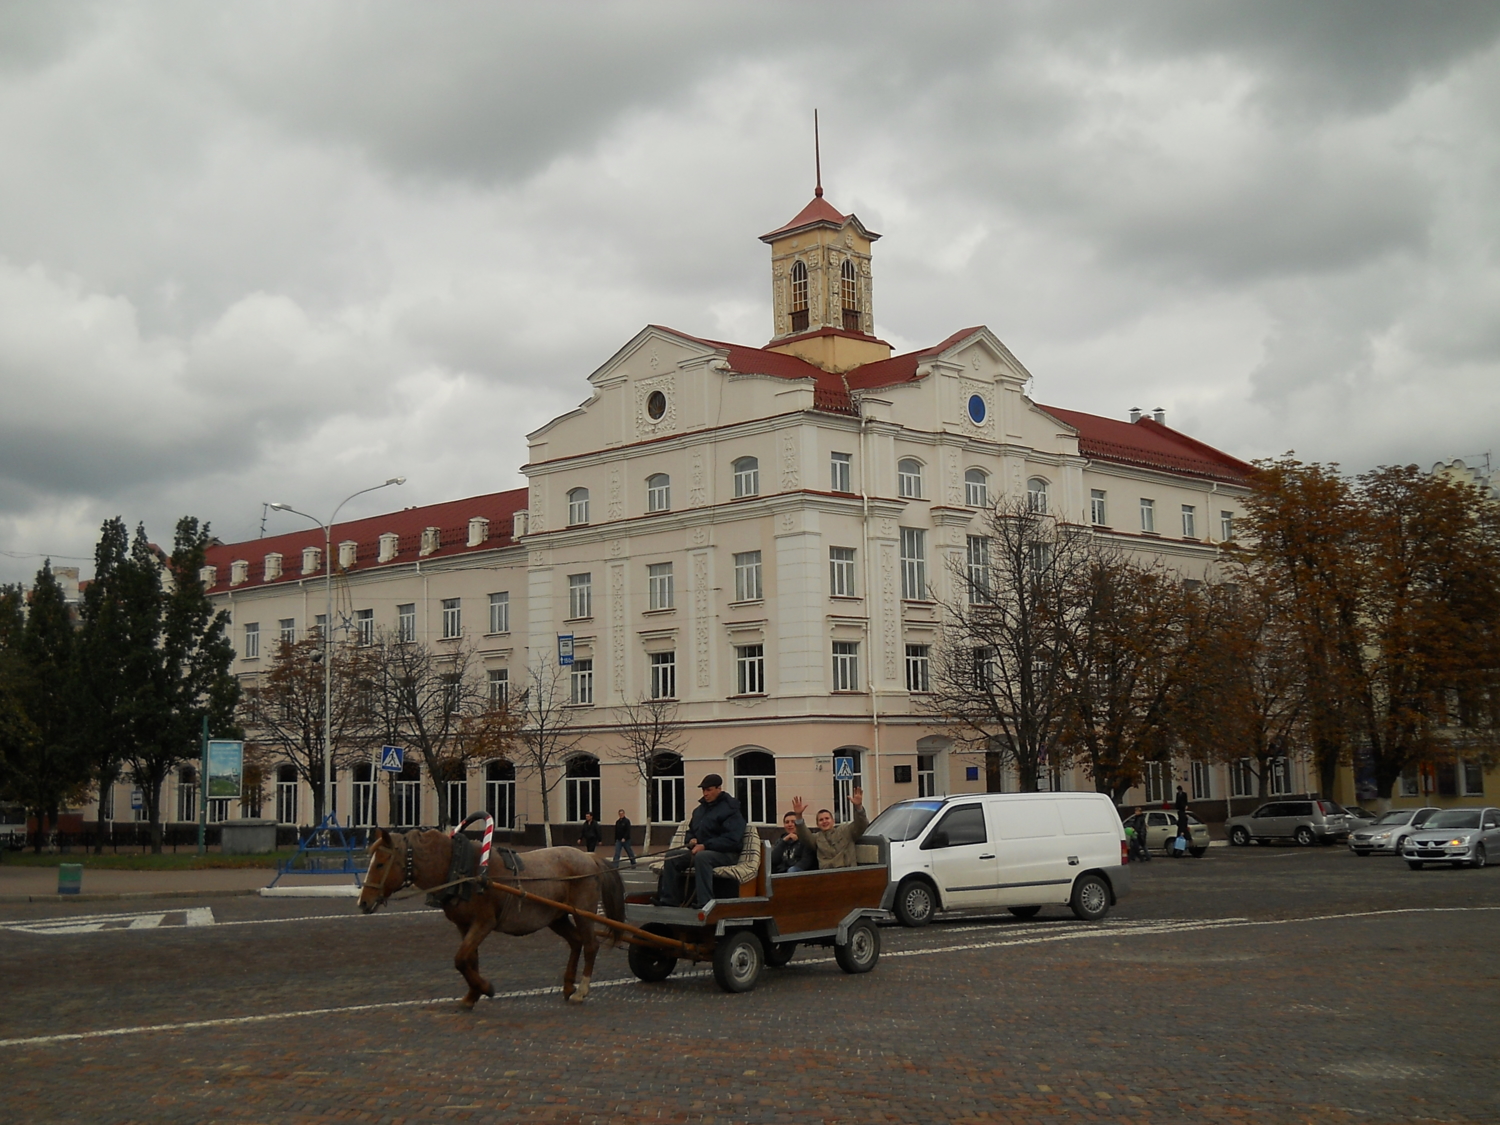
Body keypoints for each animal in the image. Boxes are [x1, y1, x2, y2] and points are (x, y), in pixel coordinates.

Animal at [358, 834, 627, 1008]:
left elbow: (460, 959)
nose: (363, 902)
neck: (462, 870)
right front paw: (471, 995)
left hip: (582, 912)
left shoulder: (484, 923)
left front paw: (485, 988)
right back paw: (569, 985)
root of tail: (588, 857)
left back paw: (581, 990)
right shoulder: (464, 926)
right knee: (576, 942)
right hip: (557, 917)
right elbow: (470, 959)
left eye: (380, 864)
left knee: (591, 945)